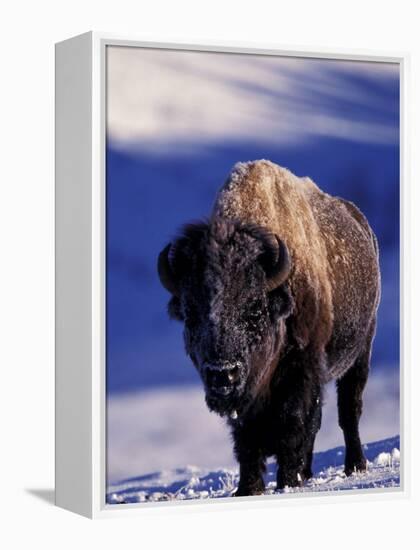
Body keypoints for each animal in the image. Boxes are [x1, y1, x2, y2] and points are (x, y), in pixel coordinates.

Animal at [157, 161, 380, 500]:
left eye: (254, 310)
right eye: (191, 314)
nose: (222, 375)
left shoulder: (301, 371)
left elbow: (294, 423)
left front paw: (287, 480)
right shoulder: (248, 399)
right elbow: (248, 439)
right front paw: (248, 489)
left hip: (360, 352)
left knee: (348, 410)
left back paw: (354, 465)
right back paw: (308, 471)